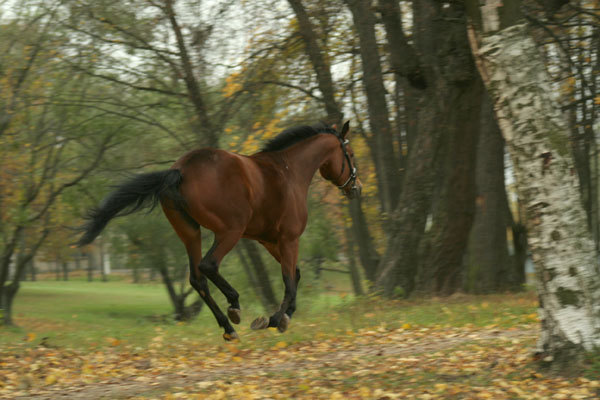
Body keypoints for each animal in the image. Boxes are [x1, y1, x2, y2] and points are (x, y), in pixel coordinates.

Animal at [78, 120, 360, 340]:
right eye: (351, 153)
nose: (356, 188)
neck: (289, 171)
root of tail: (179, 170)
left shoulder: (269, 240)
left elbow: (296, 274)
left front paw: (285, 317)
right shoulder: (289, 238)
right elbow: (289, 281)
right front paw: (274, 319)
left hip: (190, 233)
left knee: (196, 278)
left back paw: (228, 328)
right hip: (230, 231)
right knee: (208, 265)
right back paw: (234, 307)